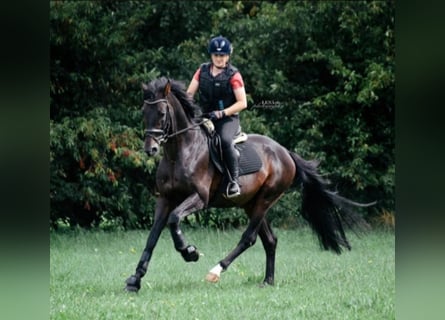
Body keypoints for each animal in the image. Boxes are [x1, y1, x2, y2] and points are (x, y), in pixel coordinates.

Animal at [123, 77, 370, 292]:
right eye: (144, 112)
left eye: (162, 113)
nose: (150, 149)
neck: (180, 152)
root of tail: (285, 152)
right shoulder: (165, 199)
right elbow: (152, 236)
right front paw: (135, 279)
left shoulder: (198, 198)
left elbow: (174, 220)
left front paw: (189, 252)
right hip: (251, 203)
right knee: (270, 240)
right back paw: (268, 281)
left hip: (266, 199)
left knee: (249, 238)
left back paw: (216, 270)